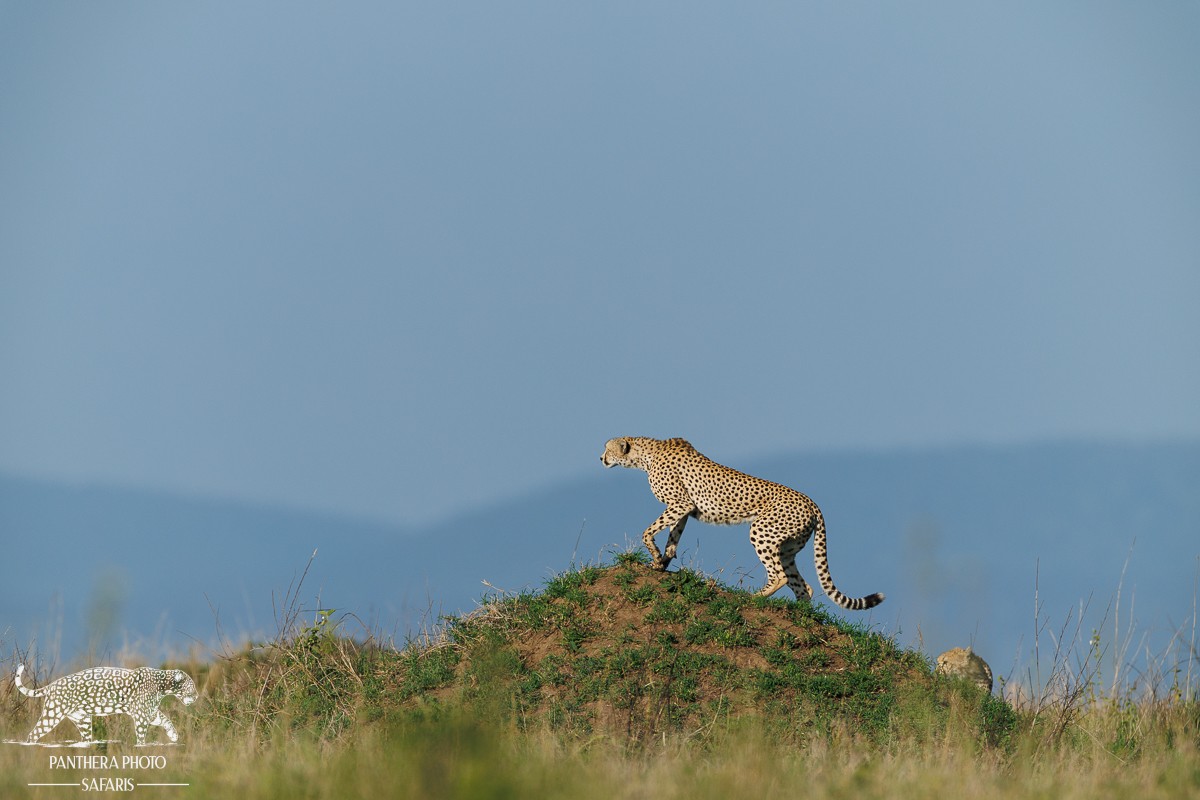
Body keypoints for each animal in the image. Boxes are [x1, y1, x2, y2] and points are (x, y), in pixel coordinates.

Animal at [14, 664, 198, 745]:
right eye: (192, 687)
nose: (196, 697)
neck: (162, 685)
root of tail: (51, 685)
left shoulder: (150, 712)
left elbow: (165, 719)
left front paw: (173, 735)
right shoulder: (141, 715)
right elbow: (141, 733)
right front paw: (141, 746)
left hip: (82, 719)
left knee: (85, 737)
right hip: (53, 713)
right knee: (34, 733)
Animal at [601, 436, 884, 610]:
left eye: (607, 448)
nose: (601, 459)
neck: (646, 454)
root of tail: (812, 502)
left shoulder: (680, 504)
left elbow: (647, 531)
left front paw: (655, 555)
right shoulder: (683, 510)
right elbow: (673, 537)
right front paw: (661, 563)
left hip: (761, 531)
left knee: (780, 576)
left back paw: (753, 598)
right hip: (787, 547)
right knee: (804, 587)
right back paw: (803, 616)